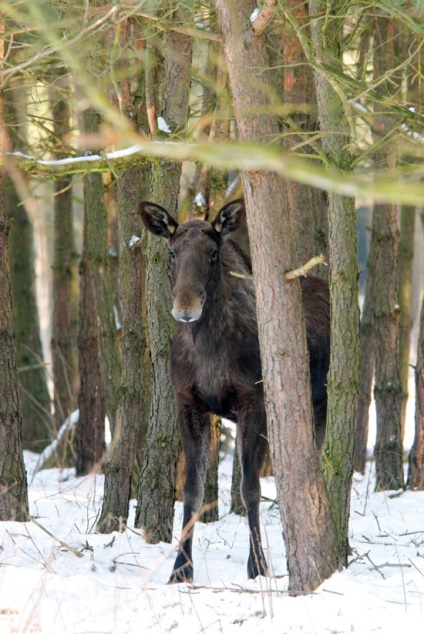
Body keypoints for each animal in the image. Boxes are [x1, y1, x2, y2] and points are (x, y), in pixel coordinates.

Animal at [140, 198, 332, 584]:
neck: (208, 347)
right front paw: (181, 568)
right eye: (172, 253)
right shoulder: (189, 404)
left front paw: (257, 565)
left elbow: (250, 488)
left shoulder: (253, 402)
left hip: (320, 401)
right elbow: (193, 490)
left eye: (212, 253)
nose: (185, 308)